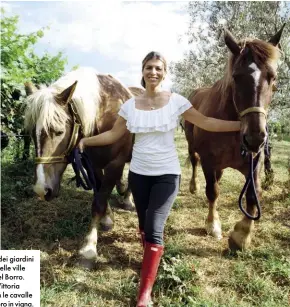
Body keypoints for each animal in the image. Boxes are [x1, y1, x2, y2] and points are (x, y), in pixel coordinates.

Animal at [24, 67, 144, 260]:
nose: (42, 190)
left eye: (59, 131)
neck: (105, 114)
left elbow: (98, 202)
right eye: (31, 133)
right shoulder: (93, 164)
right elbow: (99, 192)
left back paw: (127, 200)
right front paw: (107, 218)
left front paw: (89, 247)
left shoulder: (115, 164)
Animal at [185, 25, 284, 251]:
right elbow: (212, 191)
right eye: (237, 77)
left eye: (273, 77)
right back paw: (194, 187)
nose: (255, 138)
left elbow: (253, 195)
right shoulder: (208, 160)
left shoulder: (254, 162)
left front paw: (242, 235)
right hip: (191, 146)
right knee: (195, 163)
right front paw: (213, 224)